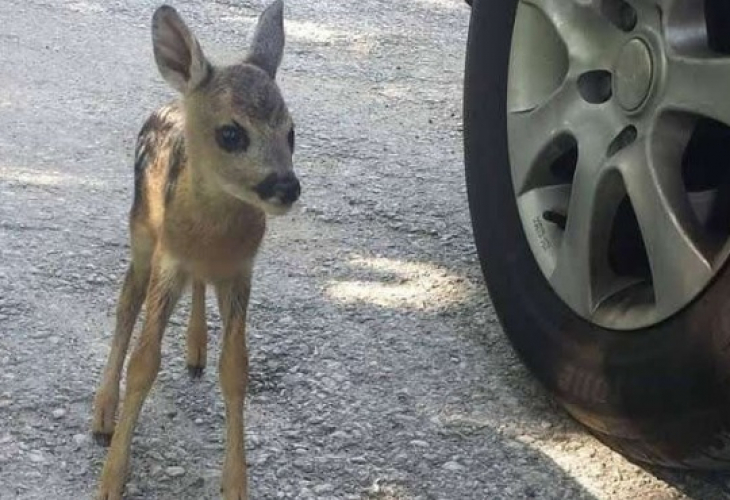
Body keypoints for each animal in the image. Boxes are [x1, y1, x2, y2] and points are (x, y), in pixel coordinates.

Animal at [92, 1, 298, 498]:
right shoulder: (168, 258)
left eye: (292, 132)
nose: (287, 187)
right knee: (126, 305)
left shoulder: (241, 269)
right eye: (231, 134)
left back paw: (195, 348)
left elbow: (236, 369)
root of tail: (171, 100)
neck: (211, 236)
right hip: (141, 232)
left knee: (195, 289)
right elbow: (143, 362)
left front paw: (236, 484)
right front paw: (111, 478)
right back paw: (103, 412)